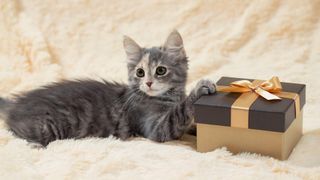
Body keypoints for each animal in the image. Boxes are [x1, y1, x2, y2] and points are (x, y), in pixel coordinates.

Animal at [0, 30, 216, 146]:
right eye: (140, 73)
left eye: (160, 70)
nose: (148, 83)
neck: (170, 97)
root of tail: (16, 104)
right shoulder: (156, 127)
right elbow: (179, 115)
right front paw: (200, 88)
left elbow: (191, 123)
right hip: (46, 127)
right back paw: (36, 144)